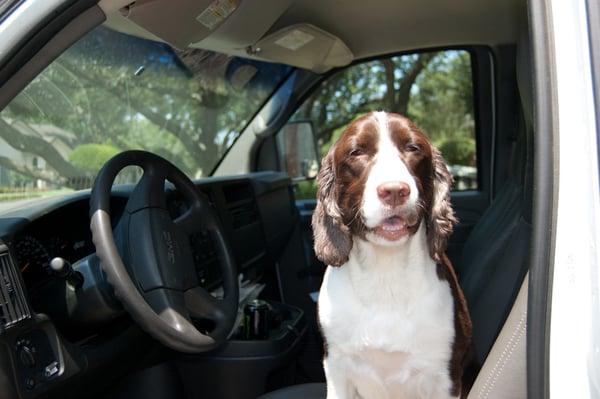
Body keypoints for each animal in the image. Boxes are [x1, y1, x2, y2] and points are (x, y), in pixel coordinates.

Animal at [312, 111, 472, 399]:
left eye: (413, 148)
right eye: (356, 152)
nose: (395, 190)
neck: (384, 274)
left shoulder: (444, 376)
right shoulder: (337, 367)